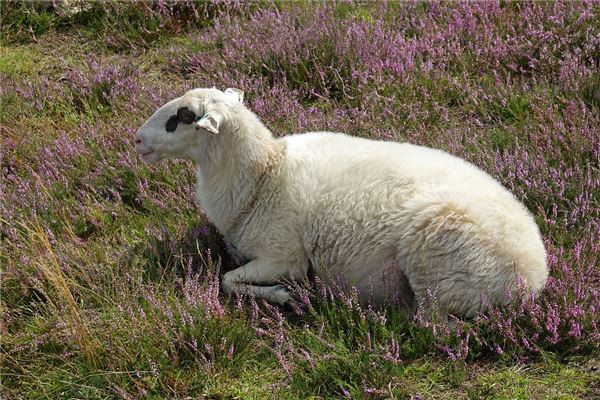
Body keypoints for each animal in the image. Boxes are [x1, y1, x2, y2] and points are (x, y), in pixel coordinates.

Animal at [136, 86, 548, 318]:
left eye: (184, 116)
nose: (137, 139)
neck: (264, 174)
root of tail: (533, 278)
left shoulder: (284, 257)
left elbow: (226, 280)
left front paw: (283, 296)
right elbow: (227, 278)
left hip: (434, 264)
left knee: (434, 326)